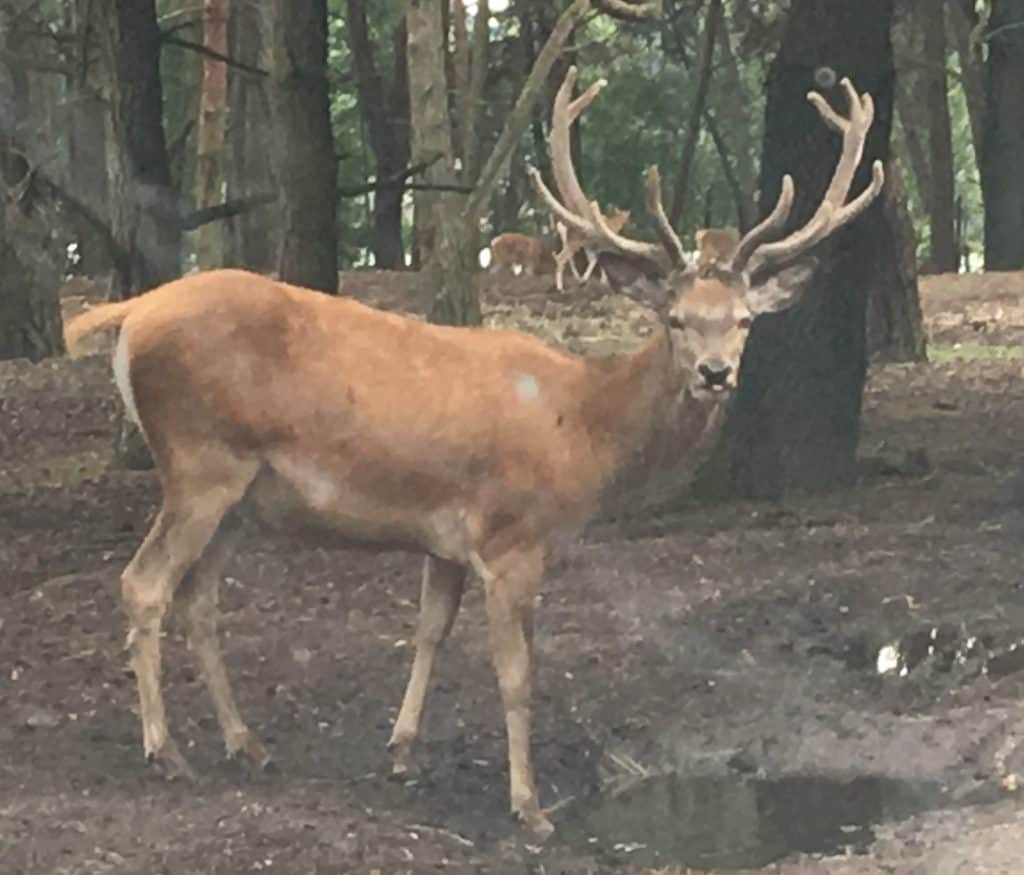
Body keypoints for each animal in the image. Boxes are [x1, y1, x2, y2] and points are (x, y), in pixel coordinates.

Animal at [62, 66, 883, 839]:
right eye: (676, 319)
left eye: (744, 319)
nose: (716, 373)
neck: (584, 426)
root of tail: (133, 312)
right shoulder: (511, 534)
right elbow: (516, 671)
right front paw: (530, 806)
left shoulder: (446, 539)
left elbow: (429, 631)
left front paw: (401, 751)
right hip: (201, 458)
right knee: (144, 584)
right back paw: (167, 750)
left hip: (241, 491)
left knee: (198, 600)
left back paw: (247, 744)